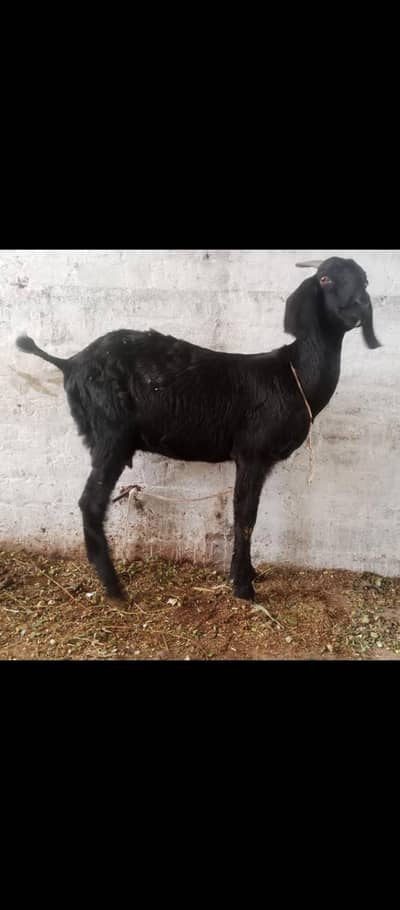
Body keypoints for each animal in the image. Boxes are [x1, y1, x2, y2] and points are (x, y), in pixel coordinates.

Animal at [15, 256, 381, 602]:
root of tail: (70, 363)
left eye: (365, 280)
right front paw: (243, 586)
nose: (360, 306)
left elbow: (246, 515)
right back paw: (114, 589)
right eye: (325, 278)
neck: (295, 375)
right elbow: (245, 517)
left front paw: (248, 574)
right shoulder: (252, 453)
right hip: (111, 435)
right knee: (91, 503)